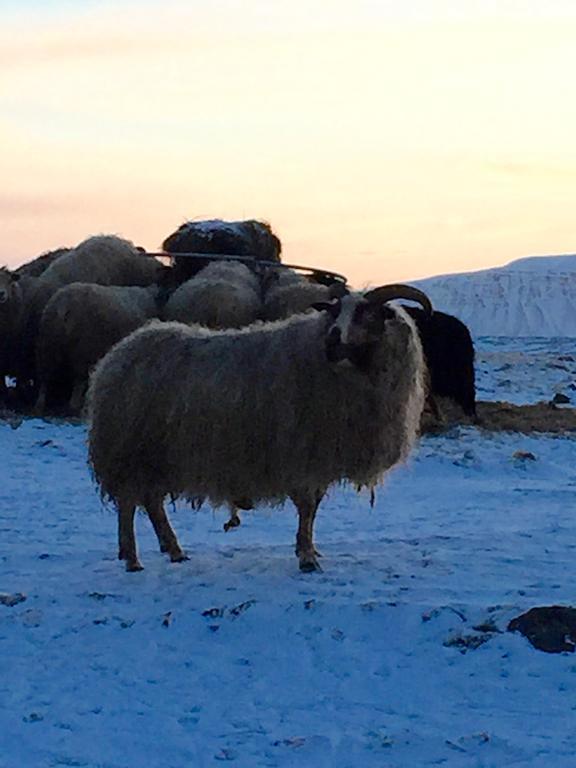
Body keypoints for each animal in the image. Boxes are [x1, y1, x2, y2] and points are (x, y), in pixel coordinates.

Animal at [35, 282, 161, 414]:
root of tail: (63, 305)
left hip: (47, 346)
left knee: (45, 377)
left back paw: (40, 405)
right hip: (82, 349)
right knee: (78, 380)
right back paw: (75, 405)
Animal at [88, 284, 430, 572]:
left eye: (367, 314)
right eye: (334, 312)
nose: (332, 342)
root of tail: (115, 356)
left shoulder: (318, 458)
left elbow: (314, 508)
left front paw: (309, 550)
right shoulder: (300, 452)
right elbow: (307, 507)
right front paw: (307, 558)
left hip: (156, 456)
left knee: (152, 503)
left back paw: (173, 551)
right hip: (131, 451)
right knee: (129, 504)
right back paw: (132, 559)